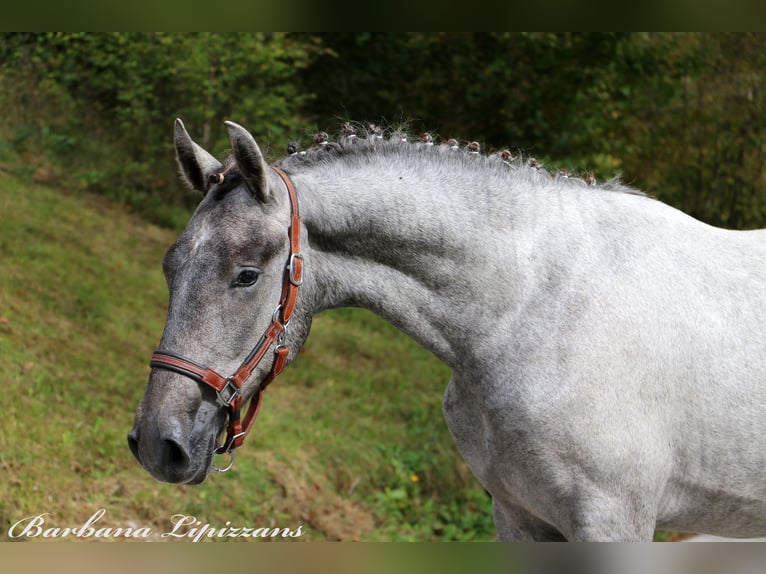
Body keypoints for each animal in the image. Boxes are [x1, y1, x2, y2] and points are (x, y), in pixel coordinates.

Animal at [130, 119, 766, 544]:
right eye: (170, 266)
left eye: (246, 275)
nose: (159, 445)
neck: (530, 308)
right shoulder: (518, 516)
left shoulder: (614, 521)